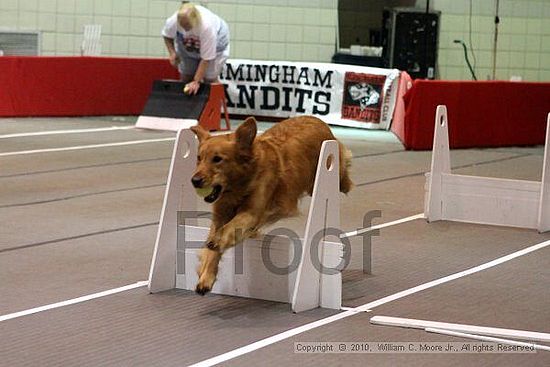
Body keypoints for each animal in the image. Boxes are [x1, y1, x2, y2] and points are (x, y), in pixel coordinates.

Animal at [190, 116, 354, 294]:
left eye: (217, 159)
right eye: (199, 158)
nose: (195, 180)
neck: (239, 186)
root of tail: (318, 120)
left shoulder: (252, 212)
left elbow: (230, 227)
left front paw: (218, 241)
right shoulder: (220, 215)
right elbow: (211, 249)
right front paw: (205, 277)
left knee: (344, 174)